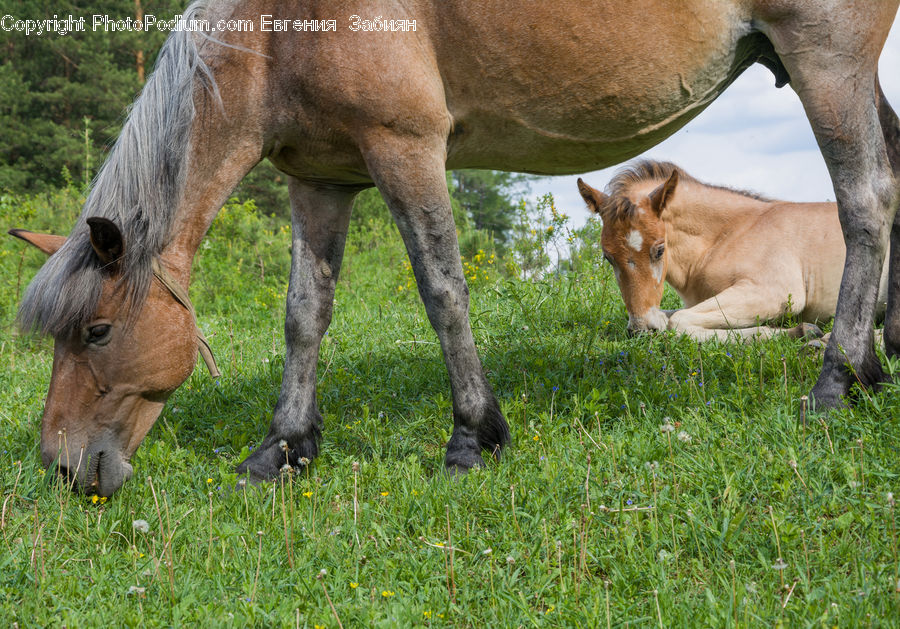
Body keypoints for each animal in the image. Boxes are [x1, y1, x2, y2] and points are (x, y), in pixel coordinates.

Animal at [577, 161, 890, 341]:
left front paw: (802, 331)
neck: (728, 234)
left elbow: (678, 323)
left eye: (659, 250)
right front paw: (799, 330)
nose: (642, 329)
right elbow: (671, 317)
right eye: (607, 257)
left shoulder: (771, 292)